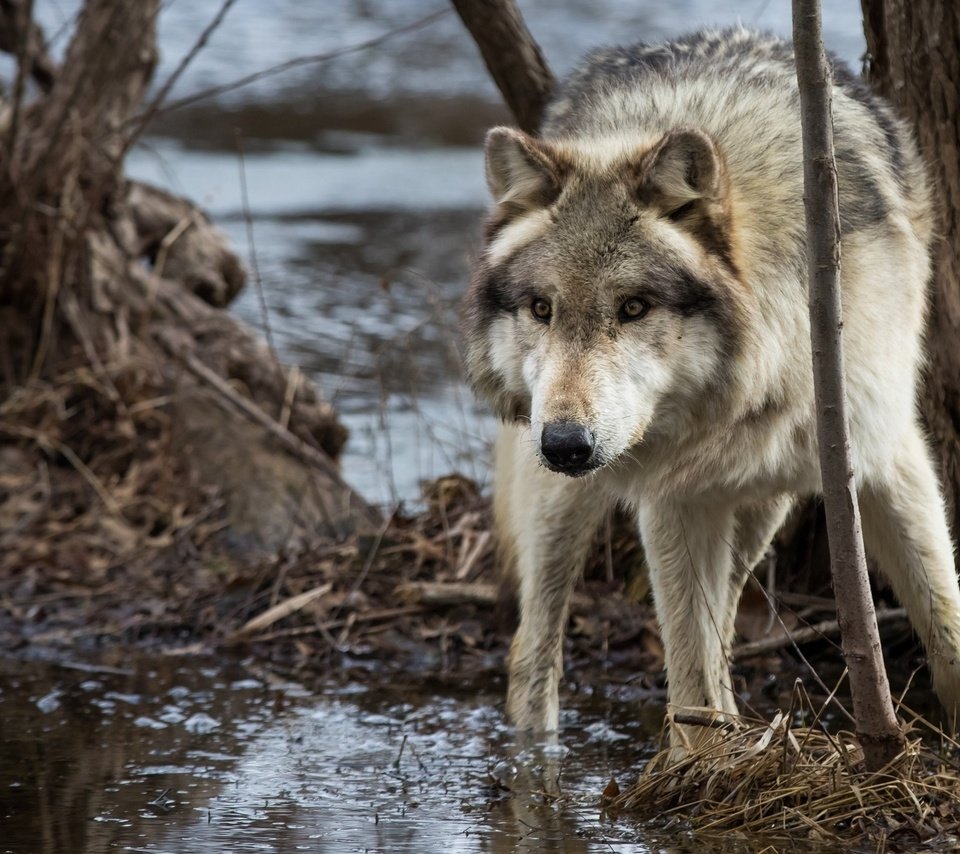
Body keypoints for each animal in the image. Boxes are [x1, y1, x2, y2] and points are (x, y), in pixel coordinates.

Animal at [462, 28, 960, 744]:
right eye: (541, 309)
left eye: (634, 307)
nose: (564, 444)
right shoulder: (673, 497)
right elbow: (689, 678)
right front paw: (700, 767)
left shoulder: (886, 455)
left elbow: (946, 629)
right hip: (563, 503)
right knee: (532, 652)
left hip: (761, 506)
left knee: (724, 618)